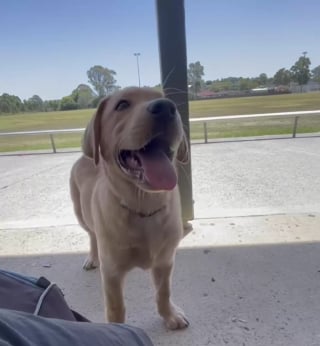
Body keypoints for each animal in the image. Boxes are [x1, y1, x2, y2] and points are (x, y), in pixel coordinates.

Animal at [70, 86, 189, 330]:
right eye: (122, 105)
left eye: (167, 99)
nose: (165, 107)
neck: (144, 208)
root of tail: (83, 157)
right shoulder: (112, 272)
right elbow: (116, 308)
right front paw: (116, 330)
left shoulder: (165, 261)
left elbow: (163, 293)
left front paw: (169, 315)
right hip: (80, 213)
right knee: (92, 235)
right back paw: (92, 257)